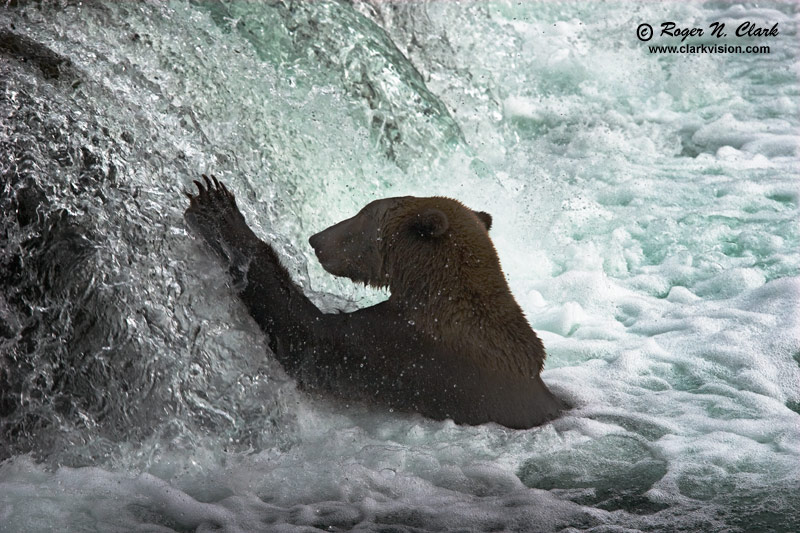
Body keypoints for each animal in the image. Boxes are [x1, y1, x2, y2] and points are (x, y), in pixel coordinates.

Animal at [184, 175, 565, 429]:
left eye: (363, 213)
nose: (315, 239)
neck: (427, 288)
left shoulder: (410, 351)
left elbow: (310, 339)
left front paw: (218, 208)